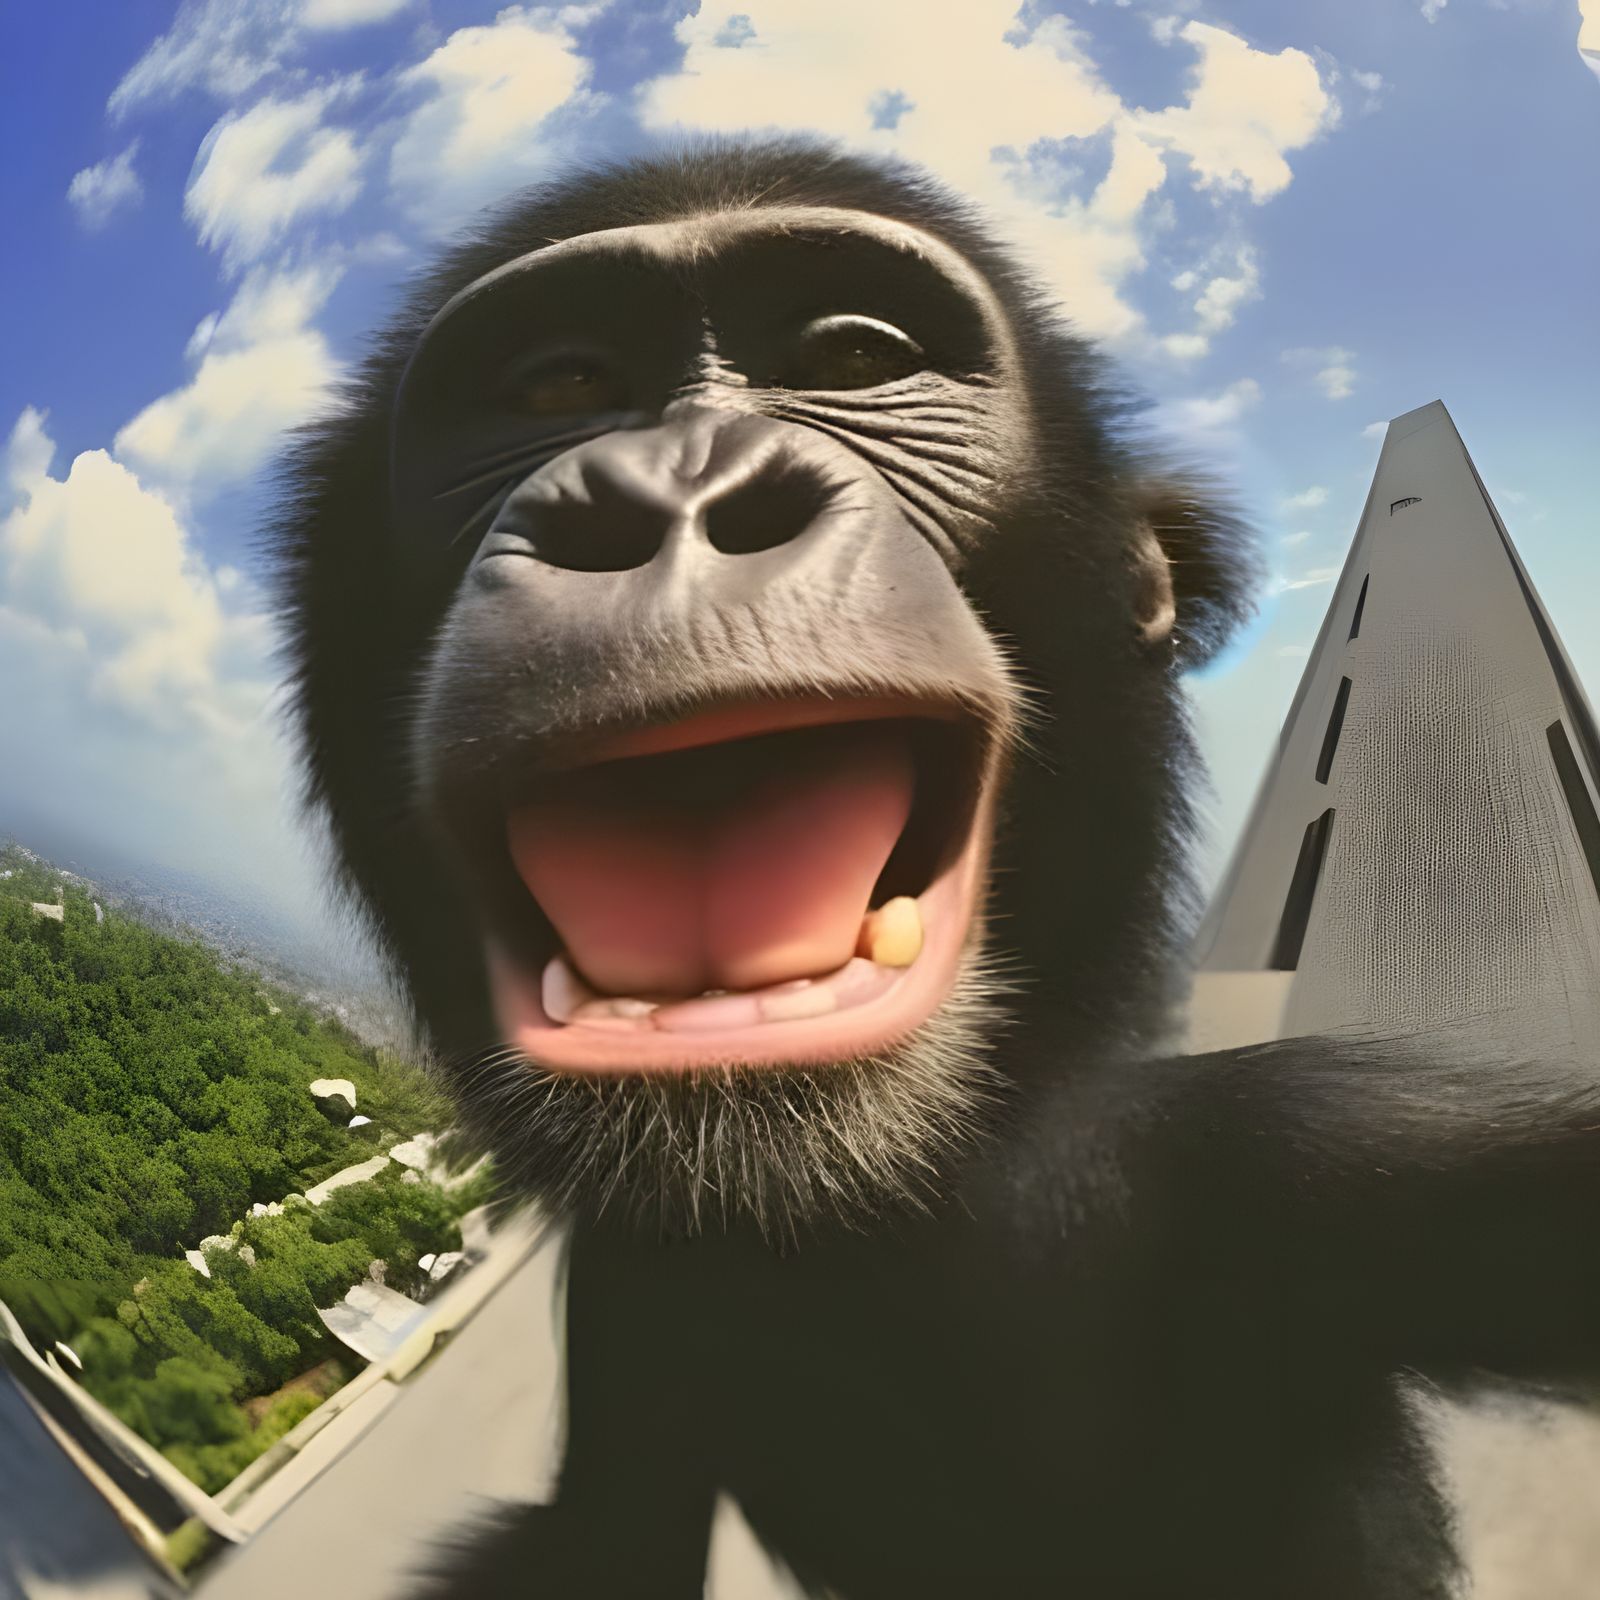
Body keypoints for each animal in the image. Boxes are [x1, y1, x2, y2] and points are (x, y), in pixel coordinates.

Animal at [272, 138, 1600, 1598]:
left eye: (856, 356)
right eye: (559, 387)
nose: (670, 489)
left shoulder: (1325, 1159)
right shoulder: (630, 1282)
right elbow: (595, 1530)